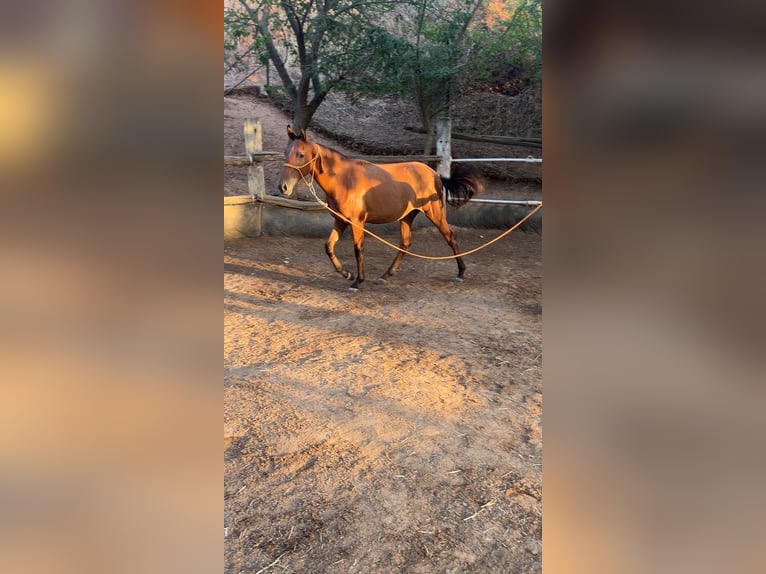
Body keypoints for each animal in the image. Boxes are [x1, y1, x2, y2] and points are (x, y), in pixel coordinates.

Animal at [280, 128, 484, 294]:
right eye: (286, 152)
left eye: (300, 154)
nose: (283, 187)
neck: (345, 180)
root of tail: (434, 174)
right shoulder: (341, 221)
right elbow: (329, 246)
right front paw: (347, 274)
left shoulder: (357, 222)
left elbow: (358, 249)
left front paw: (357, 282)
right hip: (407, 216)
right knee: (405, 243)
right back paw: (385, 275)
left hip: (435, 212)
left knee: (450, 237)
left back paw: (460, 273)